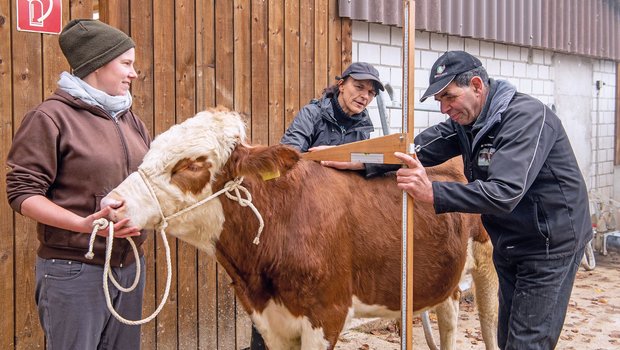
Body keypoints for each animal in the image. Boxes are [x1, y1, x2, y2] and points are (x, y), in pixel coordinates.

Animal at [103, 108, 498, 348]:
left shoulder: (327, 315)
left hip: (489, 268)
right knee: (448, 322)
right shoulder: (268, 319)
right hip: (443, 282)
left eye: (191, 164)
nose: (111, 204)